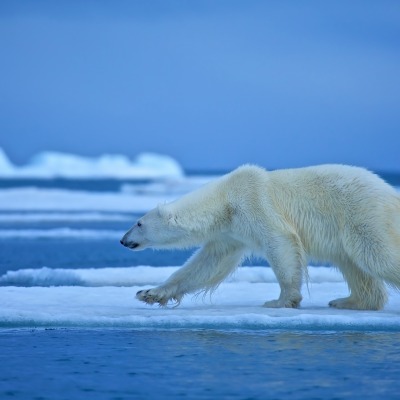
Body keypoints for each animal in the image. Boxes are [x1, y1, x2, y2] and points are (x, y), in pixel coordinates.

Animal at [120, 164, 400, 310]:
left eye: (138, 223)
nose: (122, 240)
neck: (224, 201)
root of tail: (391, 193)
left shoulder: (254, 203)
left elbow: (280, 242)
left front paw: (281, 300)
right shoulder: (231, 233)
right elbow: (206, 265)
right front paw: (149, 293)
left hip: (361, 213)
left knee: (377, 255)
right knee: (354, 265)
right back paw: (347, 301)